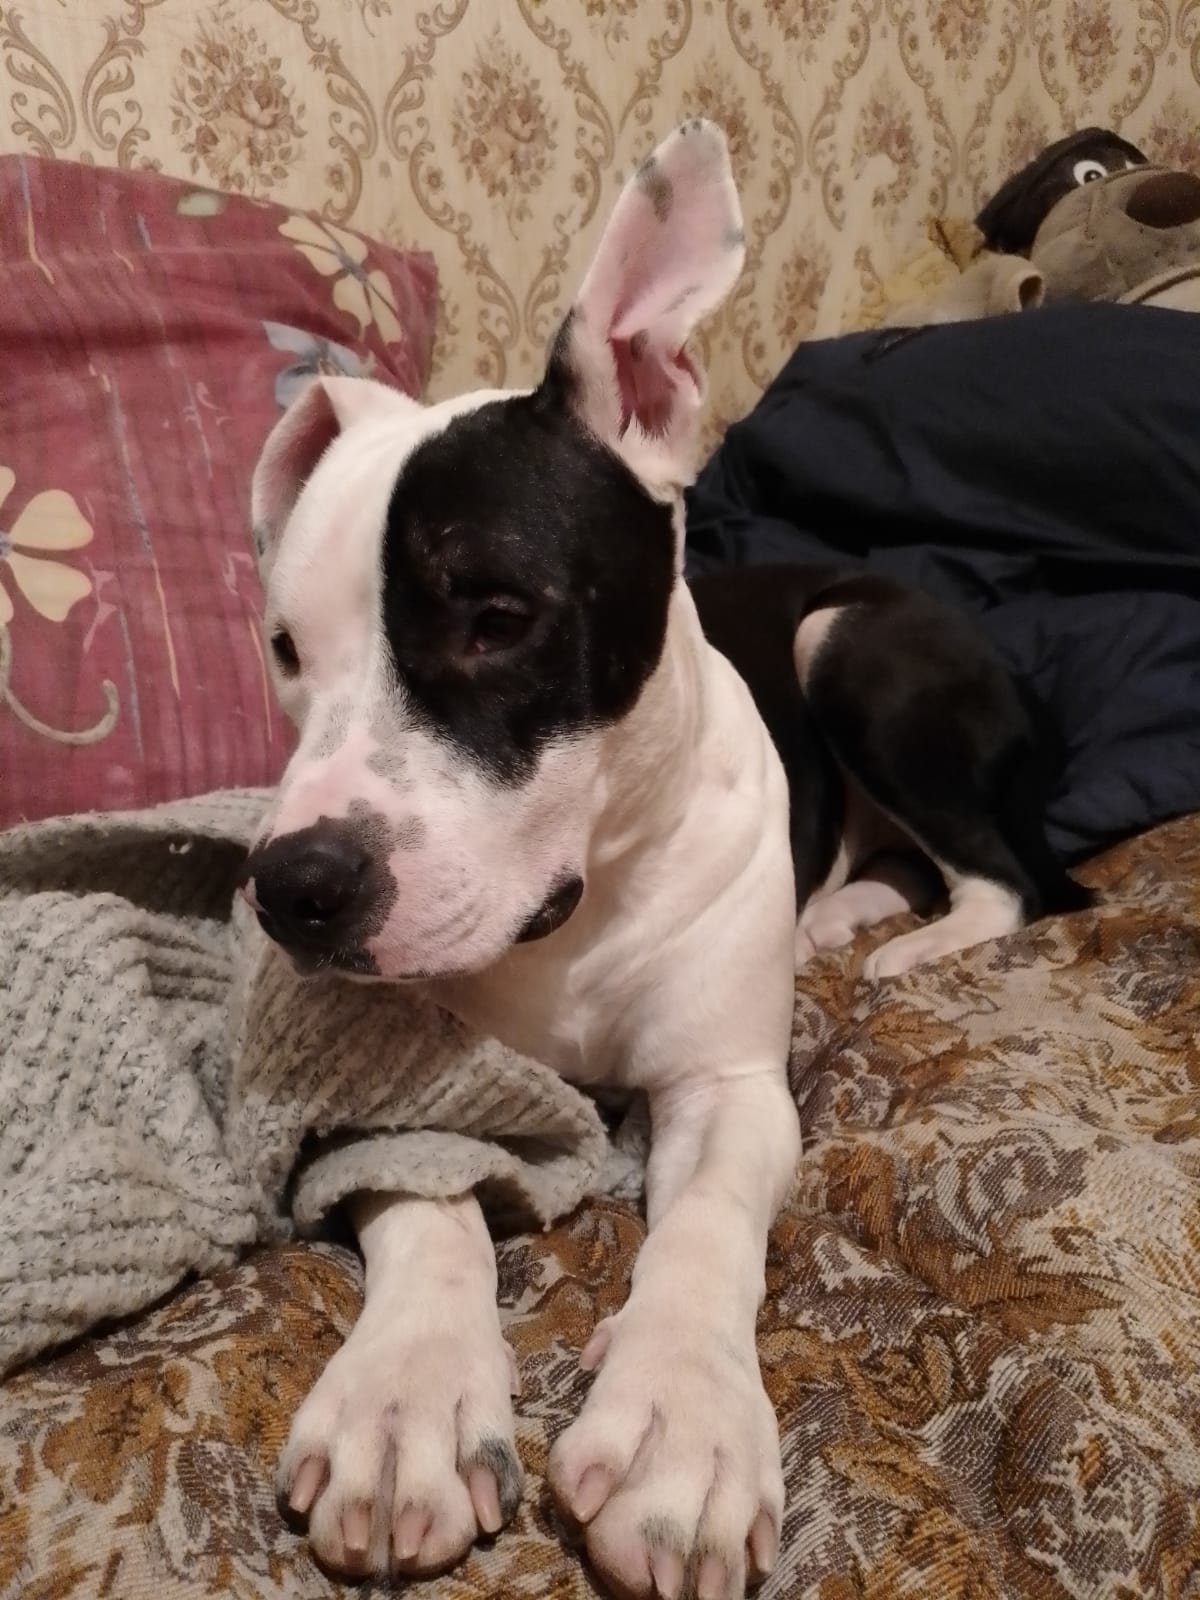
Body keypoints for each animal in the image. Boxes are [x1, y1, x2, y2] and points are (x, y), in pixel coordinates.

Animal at [242, 120, 1087, 1598]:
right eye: (287, 647)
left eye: (495, 617)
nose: (295, 888)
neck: (572, 918)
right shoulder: (404, 1085)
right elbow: (426, 1196)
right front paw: (405, 1400)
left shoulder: (731, 1089)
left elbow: (704, 1233)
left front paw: (680, 1427)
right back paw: (842, 913)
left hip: (851, 648)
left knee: (1000, 876)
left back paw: (907, 944)